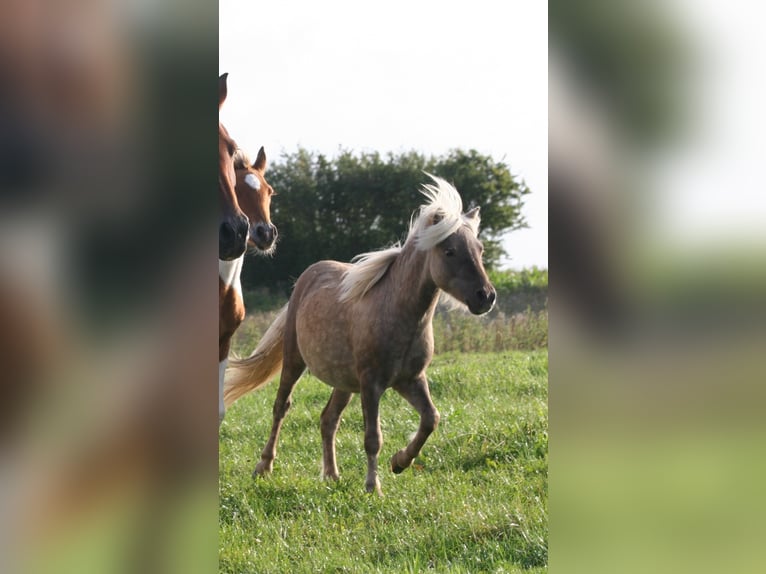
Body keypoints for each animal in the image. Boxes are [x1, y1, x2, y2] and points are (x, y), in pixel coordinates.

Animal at [222, 176, 498, 496]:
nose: (485, 297)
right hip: (295, 361)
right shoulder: (371, 384)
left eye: (479, 249)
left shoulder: (411, 379)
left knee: (328, 419)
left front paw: (399, 462)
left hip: (344, 382)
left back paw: (332, 475)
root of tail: (307, 277)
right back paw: (264, 467)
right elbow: (373, 437)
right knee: (282, 407)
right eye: (449, 251)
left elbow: (431, 419)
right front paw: (373, 486)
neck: (399, 312)